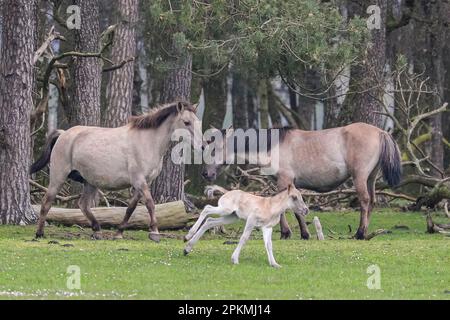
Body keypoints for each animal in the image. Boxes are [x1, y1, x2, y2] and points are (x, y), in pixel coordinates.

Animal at [29, 101, 202, 241]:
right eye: (186, 122)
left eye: (198, 123)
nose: (202, 145)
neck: (147, 141)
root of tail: (64, 134)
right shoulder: (139, 181)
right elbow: (150, 204)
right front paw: (154, 232)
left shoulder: (144, 182)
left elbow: (131, 208)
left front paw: (119, 233)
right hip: (58, 177)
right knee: (47, 202)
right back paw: (39, 233)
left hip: (90, 182)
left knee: (83, 205)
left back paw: (97, 230)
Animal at [201, 122, 400, 240]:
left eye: (215, 149)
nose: (206, 174)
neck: (274, 146)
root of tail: (380, 131)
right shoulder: (285, 184)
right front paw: (298, 233)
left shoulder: (284, 181)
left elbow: (286, 209)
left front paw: (290, 233)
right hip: (370, 177)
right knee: (372, 201)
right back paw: (366, 232)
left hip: (359, 177)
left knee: (365, 201)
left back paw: (360, 233)